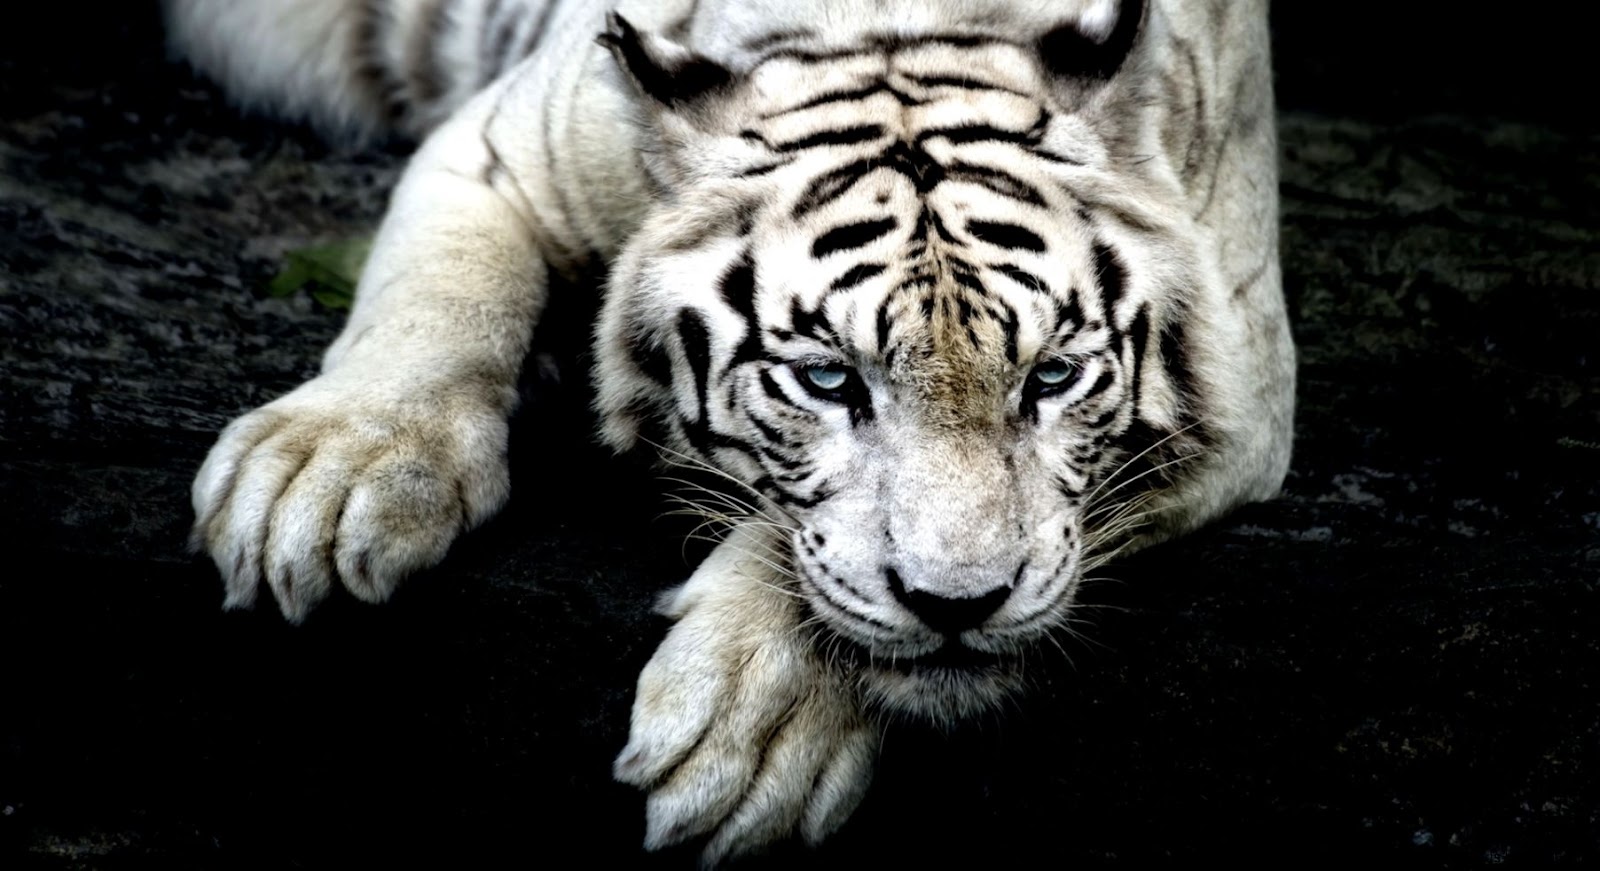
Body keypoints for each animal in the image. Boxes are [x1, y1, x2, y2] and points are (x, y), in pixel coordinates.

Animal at [169, 0, 1294, 861]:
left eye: (1052, 375)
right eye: (827, 378)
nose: (958, 605)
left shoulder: (1246, 385)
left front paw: (752, 723)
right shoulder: (499, 150)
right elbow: (437, 300)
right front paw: (323, 479)